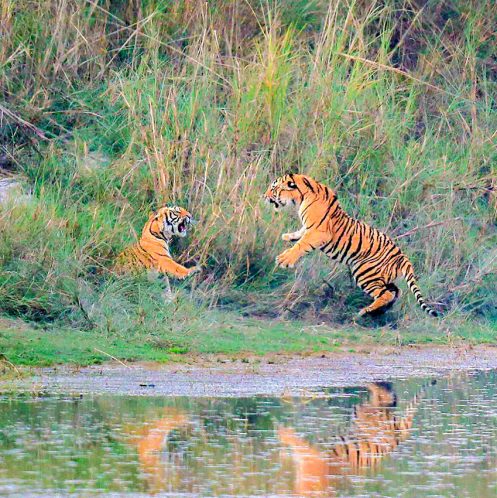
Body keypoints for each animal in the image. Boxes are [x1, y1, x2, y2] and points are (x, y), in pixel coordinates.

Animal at [264, 173, 438, 318]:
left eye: (273, 188)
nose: (264, 197)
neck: (303, 196)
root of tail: (402, 257)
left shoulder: (319, 232)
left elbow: (301, 244)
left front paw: (284, 260)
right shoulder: (309, 229)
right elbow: (300, 234)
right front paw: (288, 236)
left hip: (365, 272)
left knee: (386, 294)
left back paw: (365, 312)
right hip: (382, 277)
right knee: (396, 291)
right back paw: (381, 310)